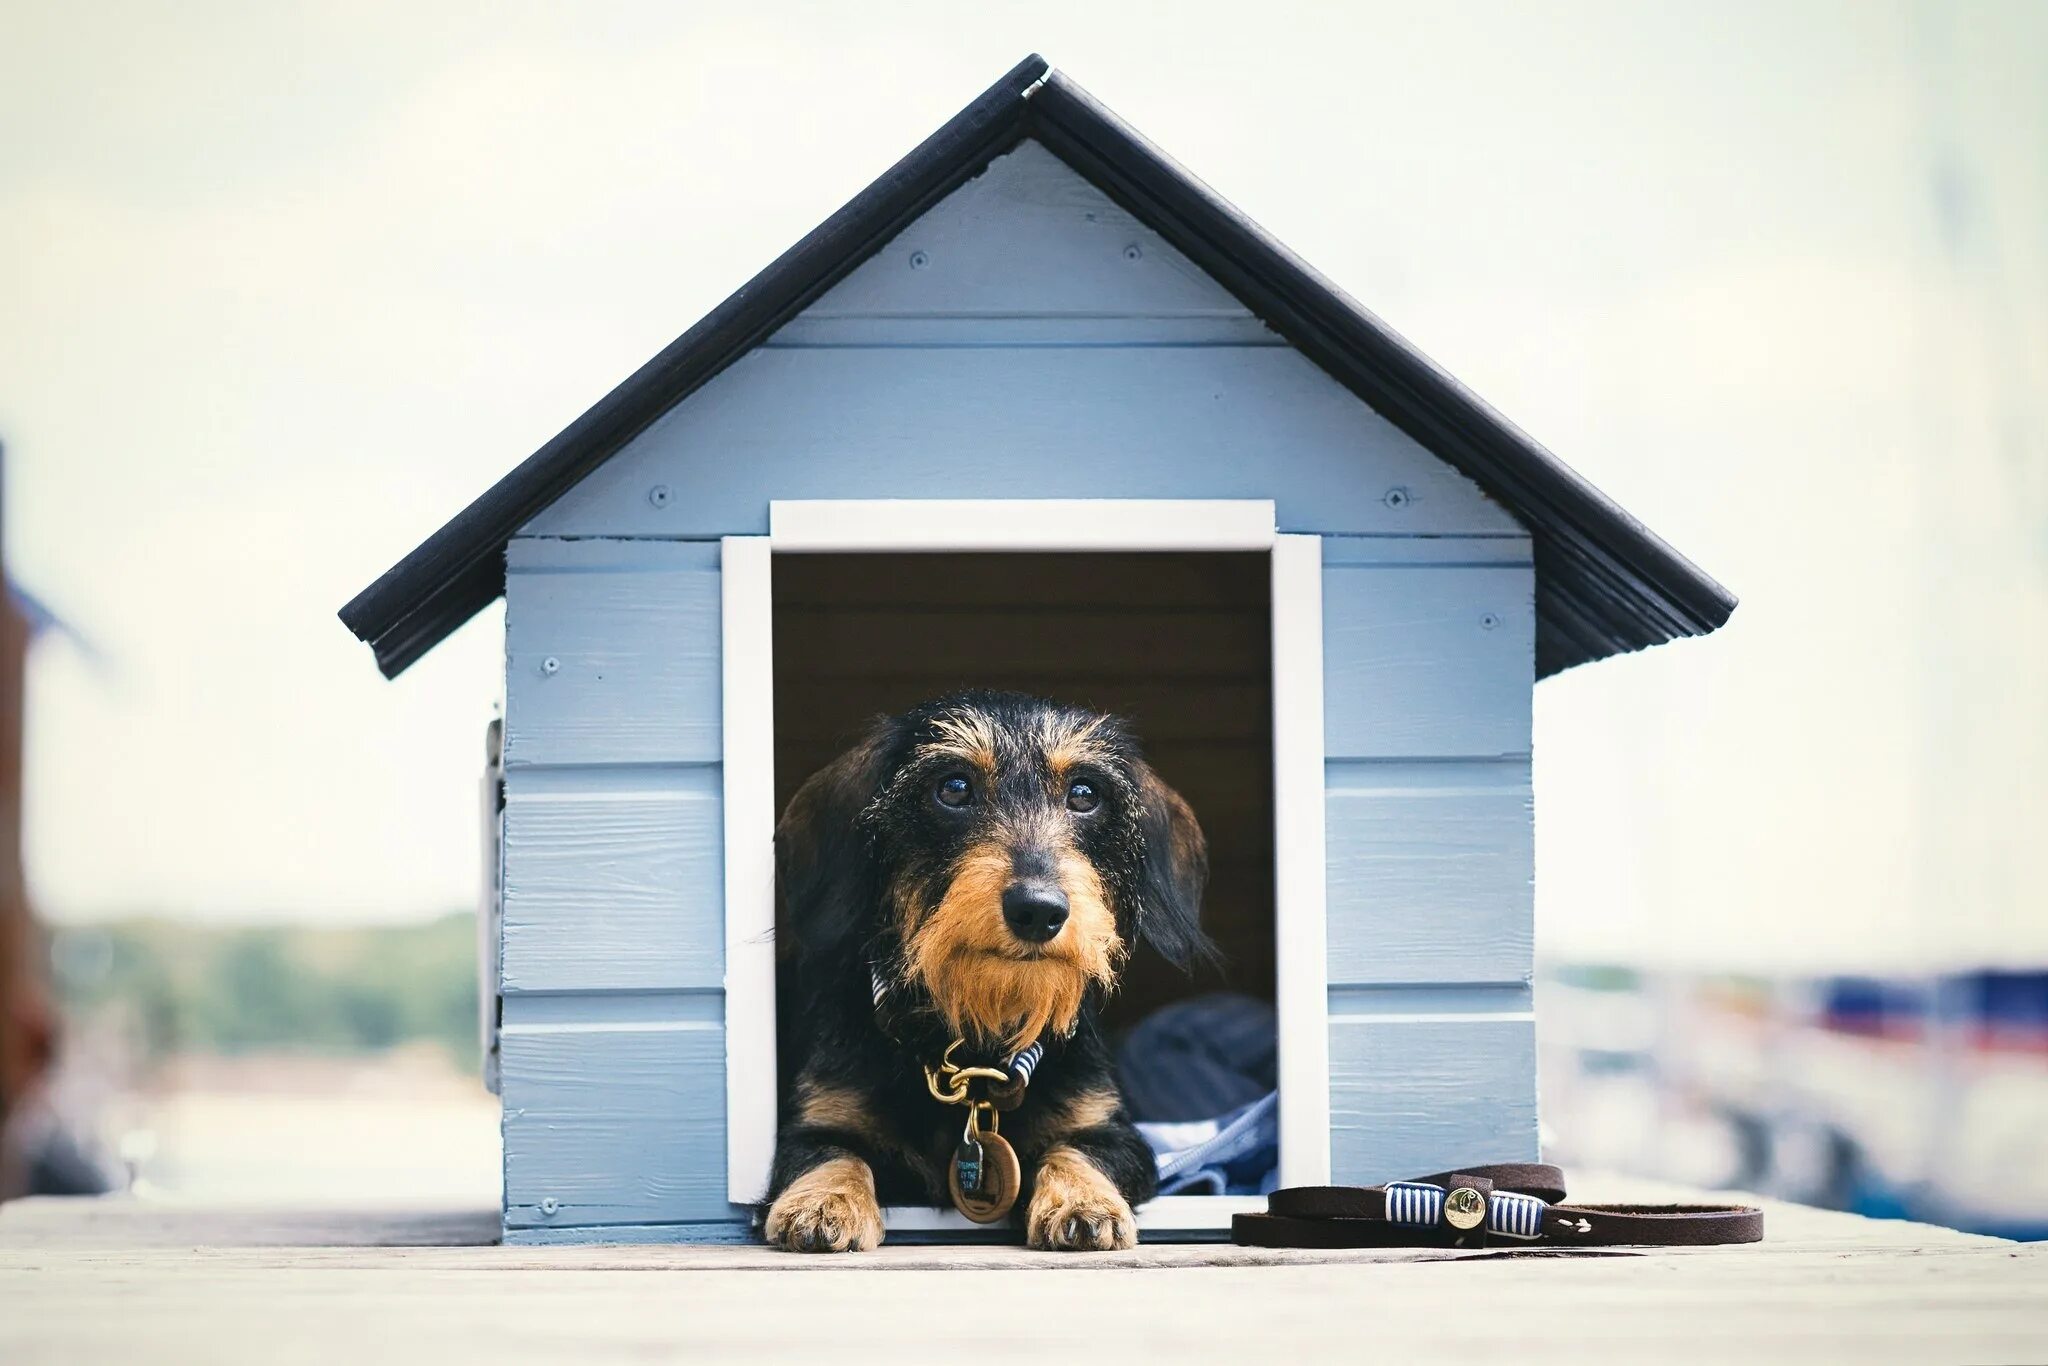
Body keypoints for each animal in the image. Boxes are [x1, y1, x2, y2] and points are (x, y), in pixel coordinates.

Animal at [770, 688, 1212, 1253]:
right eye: (954, 787)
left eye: (1085, 793)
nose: (1038, 910)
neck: (979, 1038)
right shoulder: (816, 1120)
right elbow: (833, 1152)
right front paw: (825, 1201)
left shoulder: (1113, 1131)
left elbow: (1077, 1150)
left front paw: (1083, 1201)